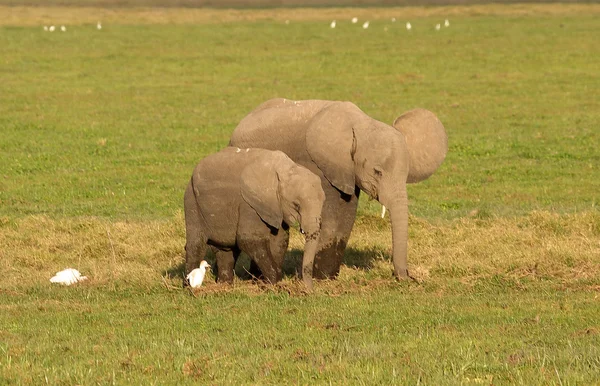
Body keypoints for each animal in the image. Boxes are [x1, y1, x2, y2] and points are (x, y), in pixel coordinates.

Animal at [183, 148, 326, 290]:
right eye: (296, 205)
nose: (310, 290)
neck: (285, 169)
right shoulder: (249, 204)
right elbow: (249, 239)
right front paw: (273, 283)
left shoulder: (275, 207)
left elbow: (279, 240)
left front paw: (275, 283)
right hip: (192, 202)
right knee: (196, 245)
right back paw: (189, 287)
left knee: (226, 250)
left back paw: (225, 285)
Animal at [230, 99, 446, 280]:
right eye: (377, 172)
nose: (409, 277)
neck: (361, 125)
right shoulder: (320, 164)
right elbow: (334, 214)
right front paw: (322, 278)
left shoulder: (347, 171)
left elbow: (346, 213)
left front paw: (328, 277)